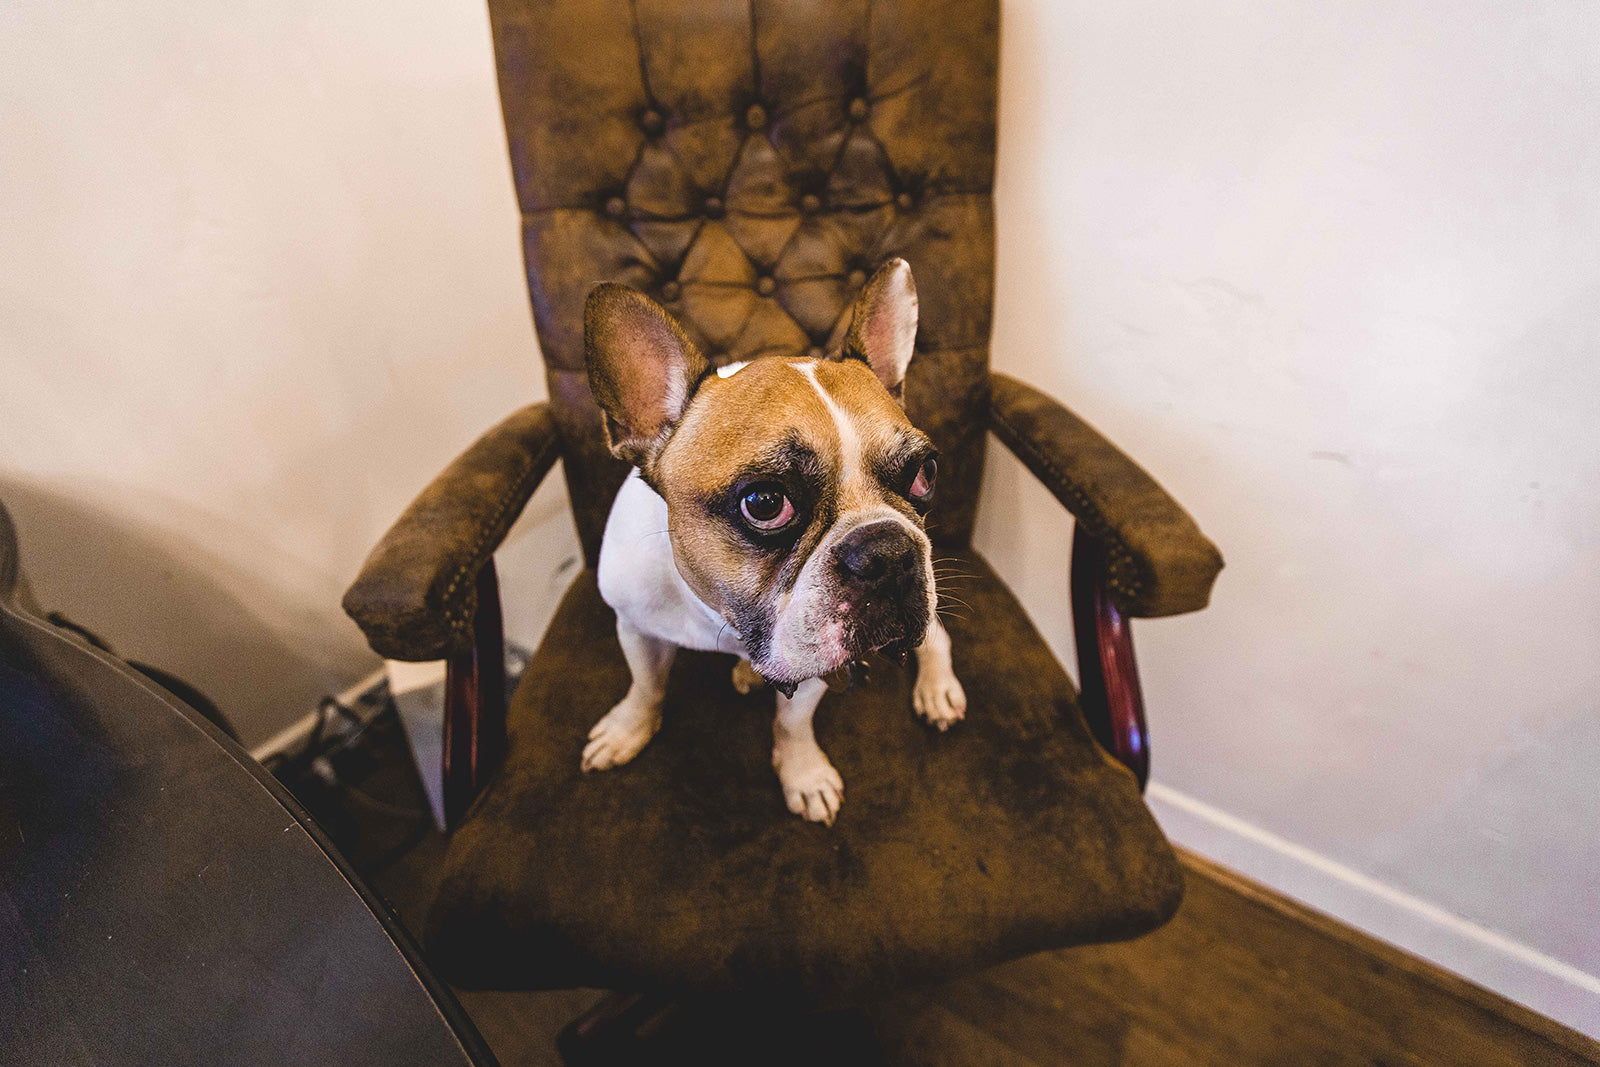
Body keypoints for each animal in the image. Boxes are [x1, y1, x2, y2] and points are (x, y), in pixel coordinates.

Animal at [585, 259, 960, 825]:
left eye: (926, 473)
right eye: (764, 502)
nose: (887, 551)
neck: (719, 617)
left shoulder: (820, 662)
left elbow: (792, 722)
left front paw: (802, 774)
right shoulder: (637, 627)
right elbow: (646, 685)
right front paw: (629, 728)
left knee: (936, 632)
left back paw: (938, 688)